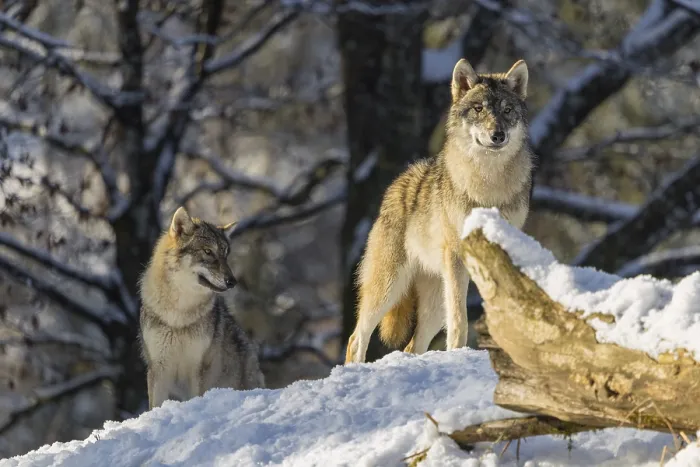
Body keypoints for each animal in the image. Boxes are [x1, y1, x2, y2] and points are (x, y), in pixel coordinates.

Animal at [139, 207, 265, 409]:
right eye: (208, 251)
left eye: (226, 255)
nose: (232, 281)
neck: (179, 313)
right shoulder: (159, 368)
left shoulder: (197, 368)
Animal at [345, 58, 534, 363]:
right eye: (479, 109)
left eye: (507, 110)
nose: (498, 135)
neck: (488, 185)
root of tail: (397, 184)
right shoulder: (457, 257)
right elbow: (460, 319)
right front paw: (460, 354)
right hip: (390, 287)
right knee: (356, 337)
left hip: (433, 301)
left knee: (411, 346)